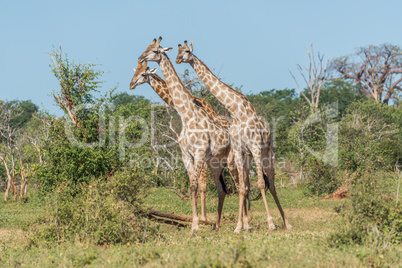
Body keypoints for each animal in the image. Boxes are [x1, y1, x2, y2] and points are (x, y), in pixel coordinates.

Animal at [137, 36, 231, 231]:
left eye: (155, 50)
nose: (141, 57)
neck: (187, 115)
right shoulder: (186, 154)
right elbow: (192, 186)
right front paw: (195, 224)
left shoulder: (200, 152)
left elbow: (196, 185)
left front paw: (197, 224)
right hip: (216, 164)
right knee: (223, 189)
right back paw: (217, 225)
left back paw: (244, 224)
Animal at [177, 40, 292, 231]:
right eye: (177, 51)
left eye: (186, 51)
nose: (178, 59)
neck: (236, 110)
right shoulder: (239, 149)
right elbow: (243, 188)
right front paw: (239, 226)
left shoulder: (254, 145)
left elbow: (260, 184)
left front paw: (270, 223)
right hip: (247, 159)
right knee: (248, 184)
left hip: (267, 155)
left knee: (272, 184)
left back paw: (286, 223)